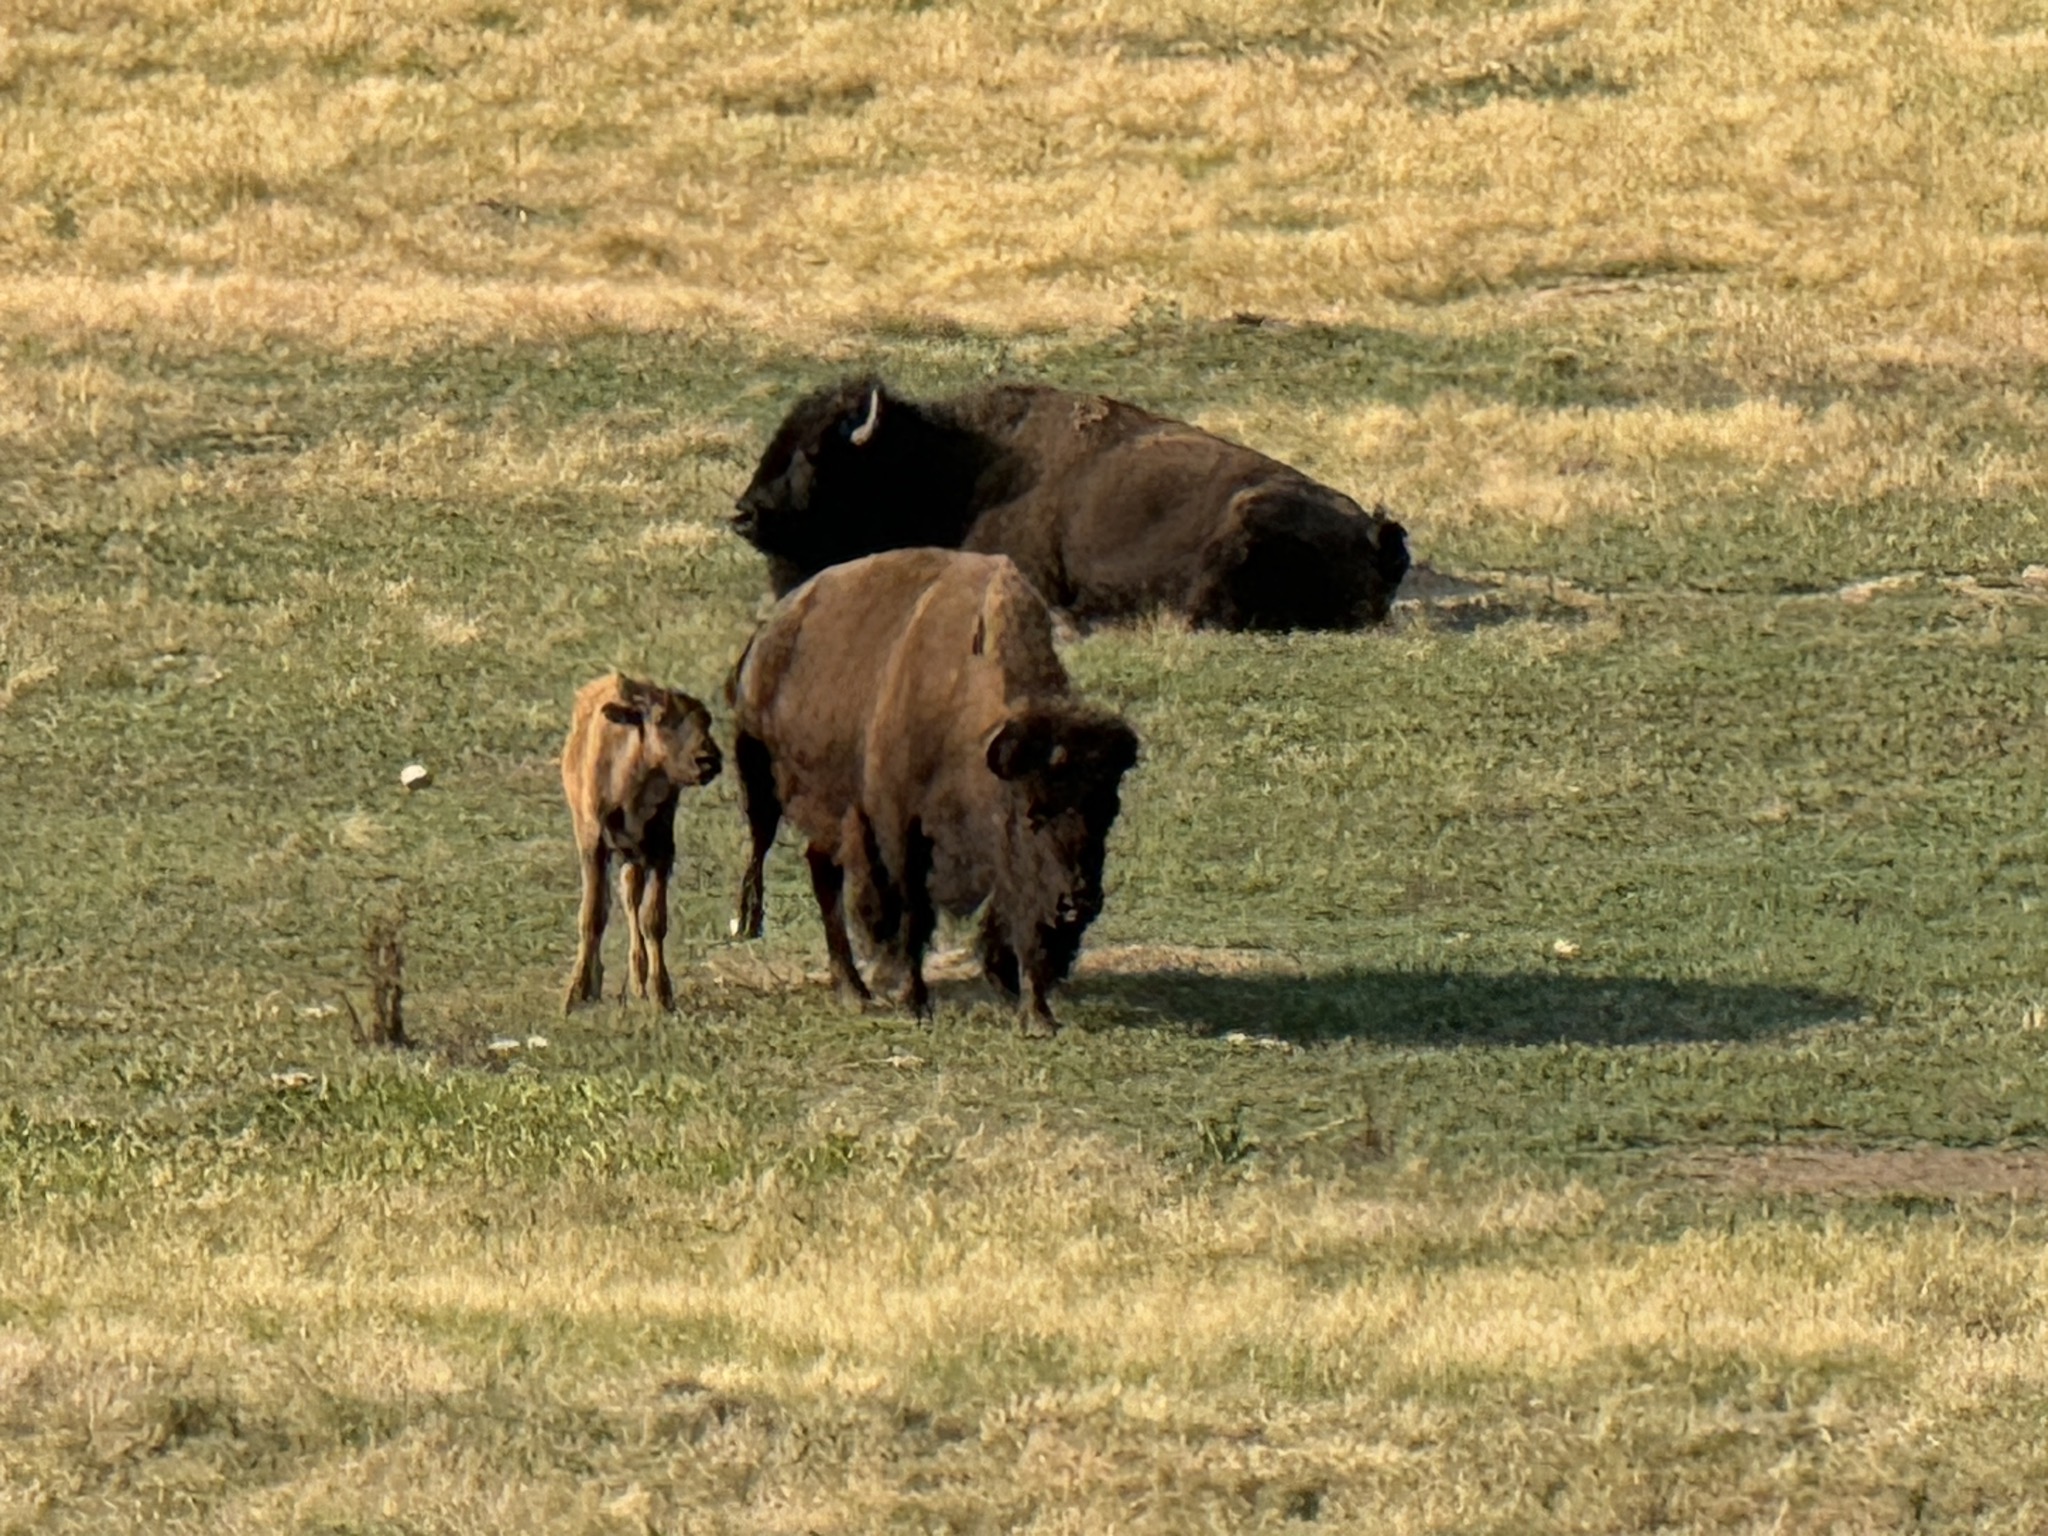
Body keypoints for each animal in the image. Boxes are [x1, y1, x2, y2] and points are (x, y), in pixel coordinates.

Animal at [729, 548, 1139, 1035]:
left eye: (1109, 811)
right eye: (1032, 813)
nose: (1080, 900)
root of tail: (766, 635)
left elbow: (1020, 926)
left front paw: (1037, 1016)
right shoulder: (902, 831)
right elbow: (914, 916)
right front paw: (915, 1003)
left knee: (823, 872)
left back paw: (853, 989)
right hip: (767, 789)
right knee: (790, 864)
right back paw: (846, 984)